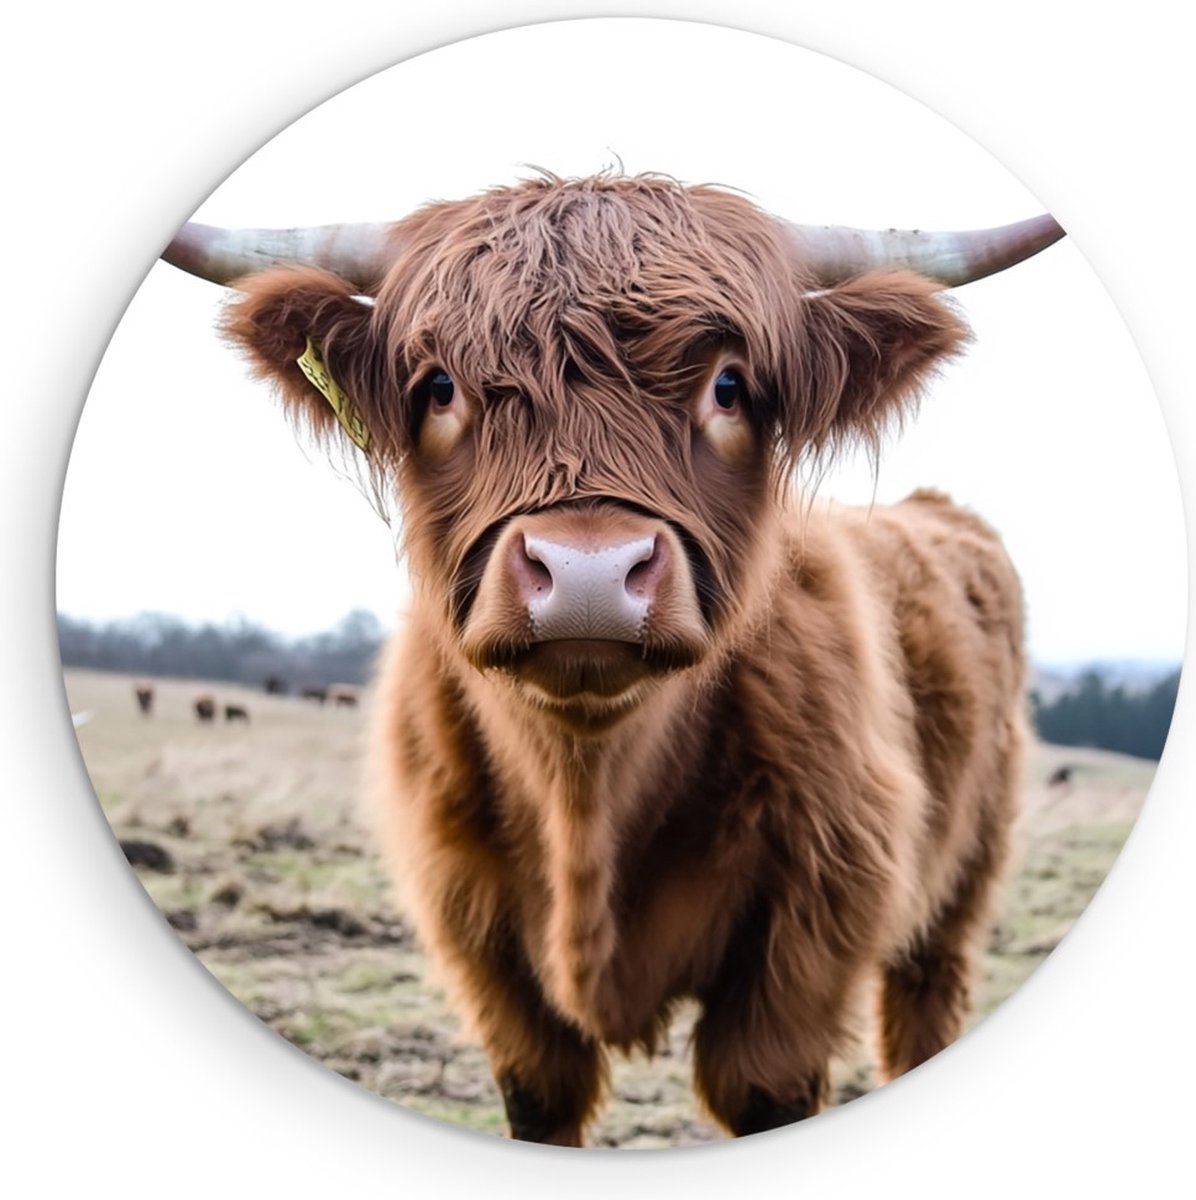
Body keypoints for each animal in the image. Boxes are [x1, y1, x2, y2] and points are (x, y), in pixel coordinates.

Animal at [162, 173, 1061, 1145]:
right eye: (438, 386)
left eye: (730, 386)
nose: (587, 574)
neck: (587, 794)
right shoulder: (478, 938)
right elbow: (540, 1093)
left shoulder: (813, 927)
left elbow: (763, 1086)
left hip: (962, 882)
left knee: (927, 999)